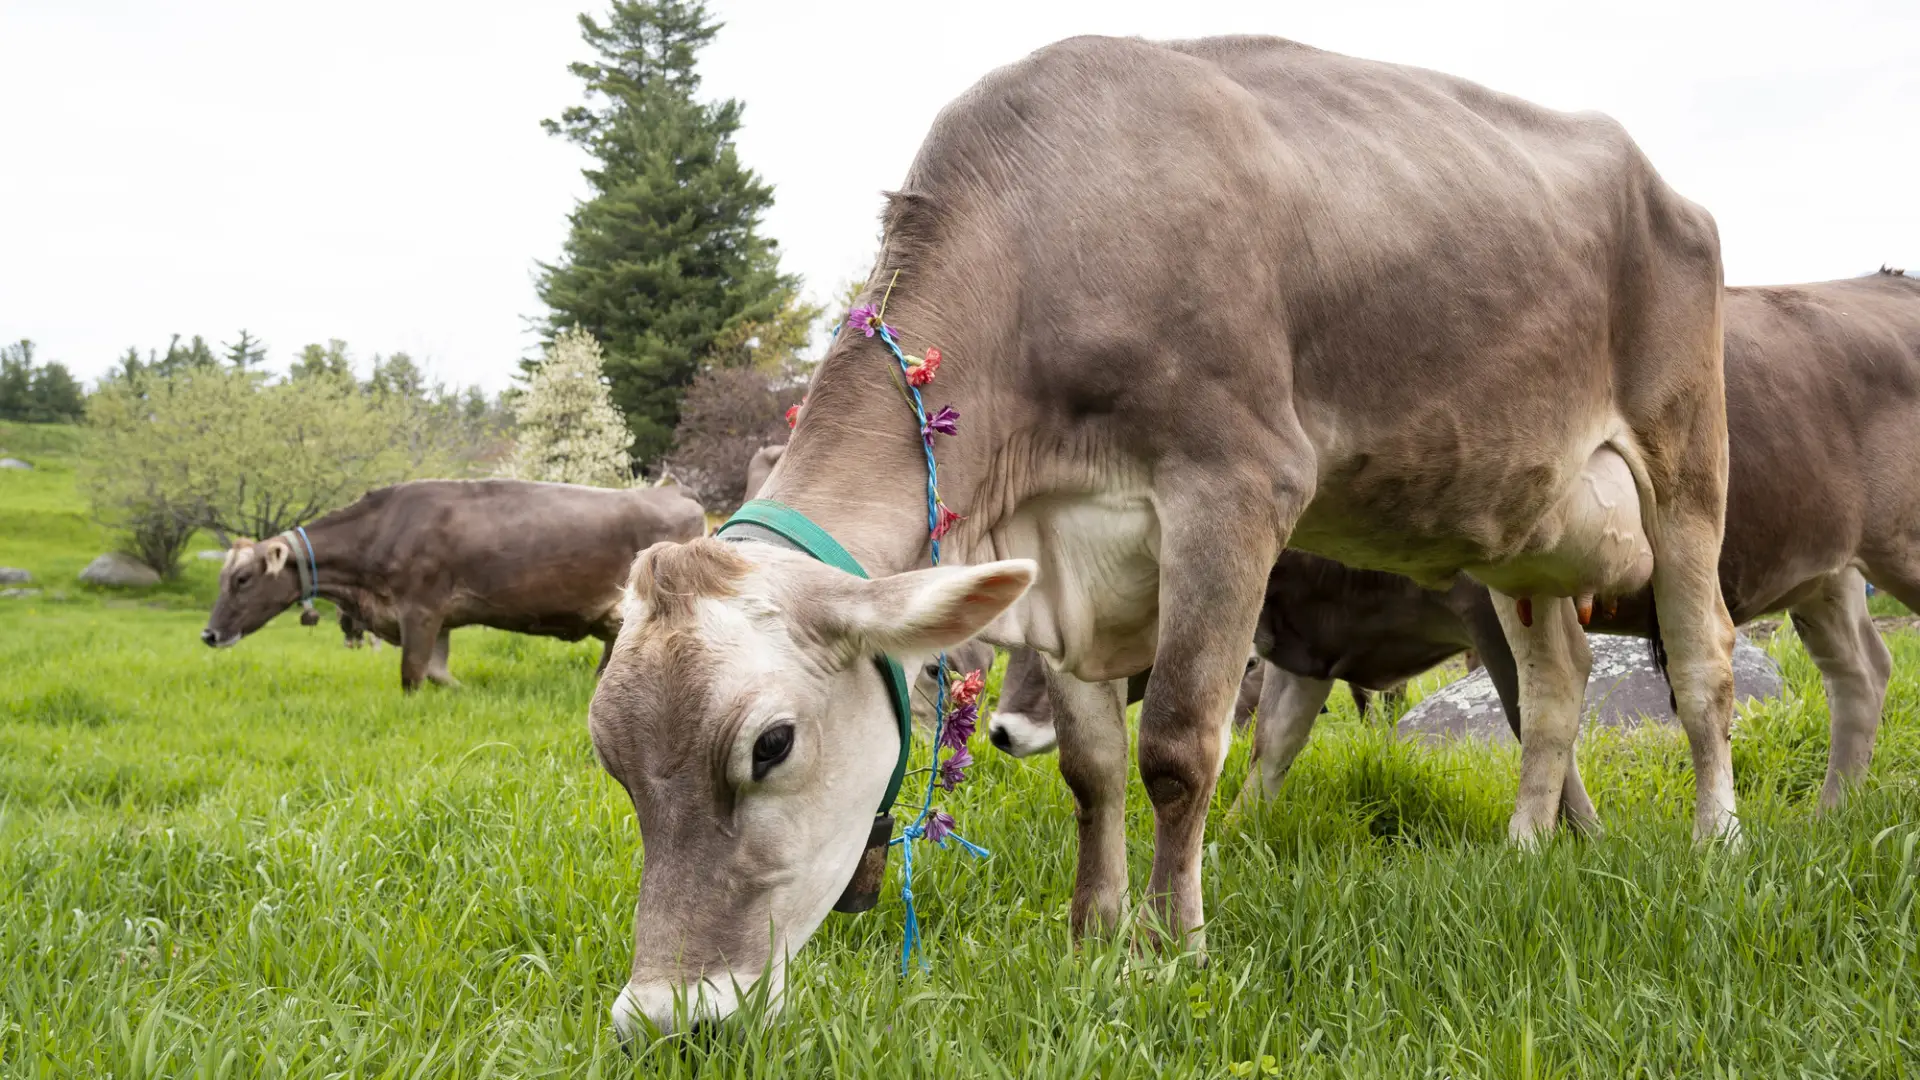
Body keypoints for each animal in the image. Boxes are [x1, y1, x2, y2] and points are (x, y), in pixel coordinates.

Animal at [203, 479, 706, 691]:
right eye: (223, 577)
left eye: (242, 579)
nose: (208, 634)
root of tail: (673, 490)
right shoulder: (439, 619)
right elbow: (438, 672)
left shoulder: (420, 610)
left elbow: (411, 673)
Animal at [587, 35, 1734, 1037]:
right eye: (611, 758)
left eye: (770, 744)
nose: (665, 1020)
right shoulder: (1059, 556)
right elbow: (1091, 766)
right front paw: (1089, 932)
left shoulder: (1235, 483)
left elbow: (1179, 748)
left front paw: (1165, 949)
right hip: (1522, 530)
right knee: (1555, 683)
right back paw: (1528, 848)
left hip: (1686, 465)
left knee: (1704, 662)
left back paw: (1714, 840)